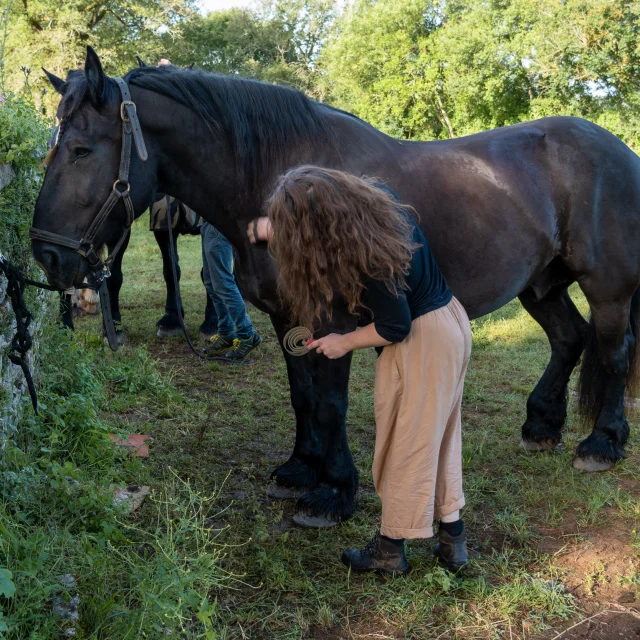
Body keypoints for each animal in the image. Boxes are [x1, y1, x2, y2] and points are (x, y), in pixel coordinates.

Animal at [32, 48, 640, 524]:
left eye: (82, 149)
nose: (46, 254)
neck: (278, 180)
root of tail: (616, 147)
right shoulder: (287, 316)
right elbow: (302, 396)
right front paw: (299, 469)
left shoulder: (335, 319)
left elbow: (330, 402)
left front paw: (333, 492)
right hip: (540, 285)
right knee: (568, 339)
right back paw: (541, 425)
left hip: (607, 288)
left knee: (613, 353)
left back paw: (601, 444)